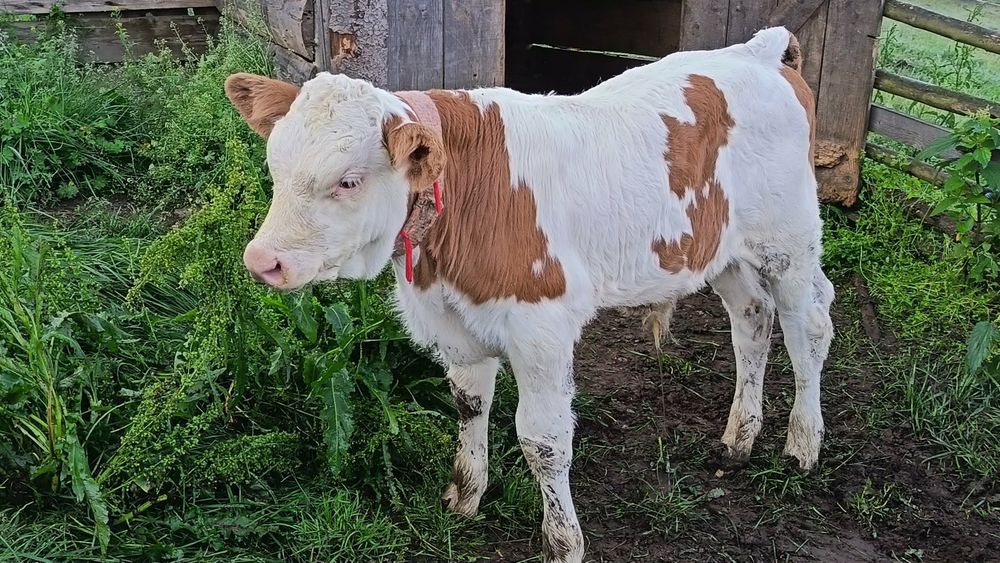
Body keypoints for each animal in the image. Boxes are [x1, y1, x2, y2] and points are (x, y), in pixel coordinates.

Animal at [225, 26, 834, 563]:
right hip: (721, 251)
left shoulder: (541, 330)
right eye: (275, 167)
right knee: (752, 319)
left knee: (808, 328)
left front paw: (563, 543)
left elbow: (543, 440)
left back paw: (802, 443)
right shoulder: (456, 322)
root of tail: (759, 52)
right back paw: (738, 438)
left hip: (790, 241)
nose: (261, 261)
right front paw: (464, 497)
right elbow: (468, 404)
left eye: (348, 181)